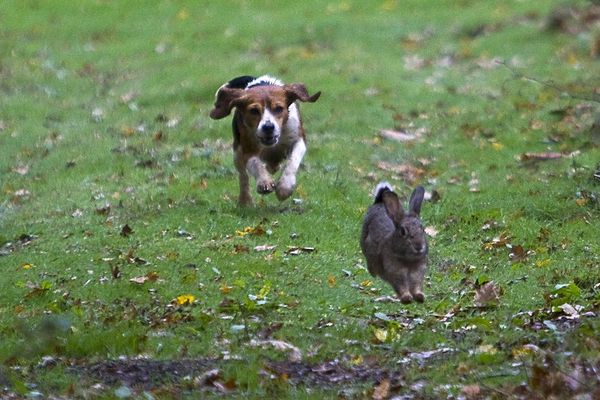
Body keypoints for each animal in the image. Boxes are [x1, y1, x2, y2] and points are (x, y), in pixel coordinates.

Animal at [210, 75, 322, 206]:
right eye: (254, 110)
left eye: (279, 108)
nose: (268, 127)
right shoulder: (247, 148)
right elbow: (256, 164)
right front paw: (264, 182)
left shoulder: (298, 139)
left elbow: (292, 162)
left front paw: (285, 187)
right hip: (237, 153)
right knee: (243, 176)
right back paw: (245, 200)